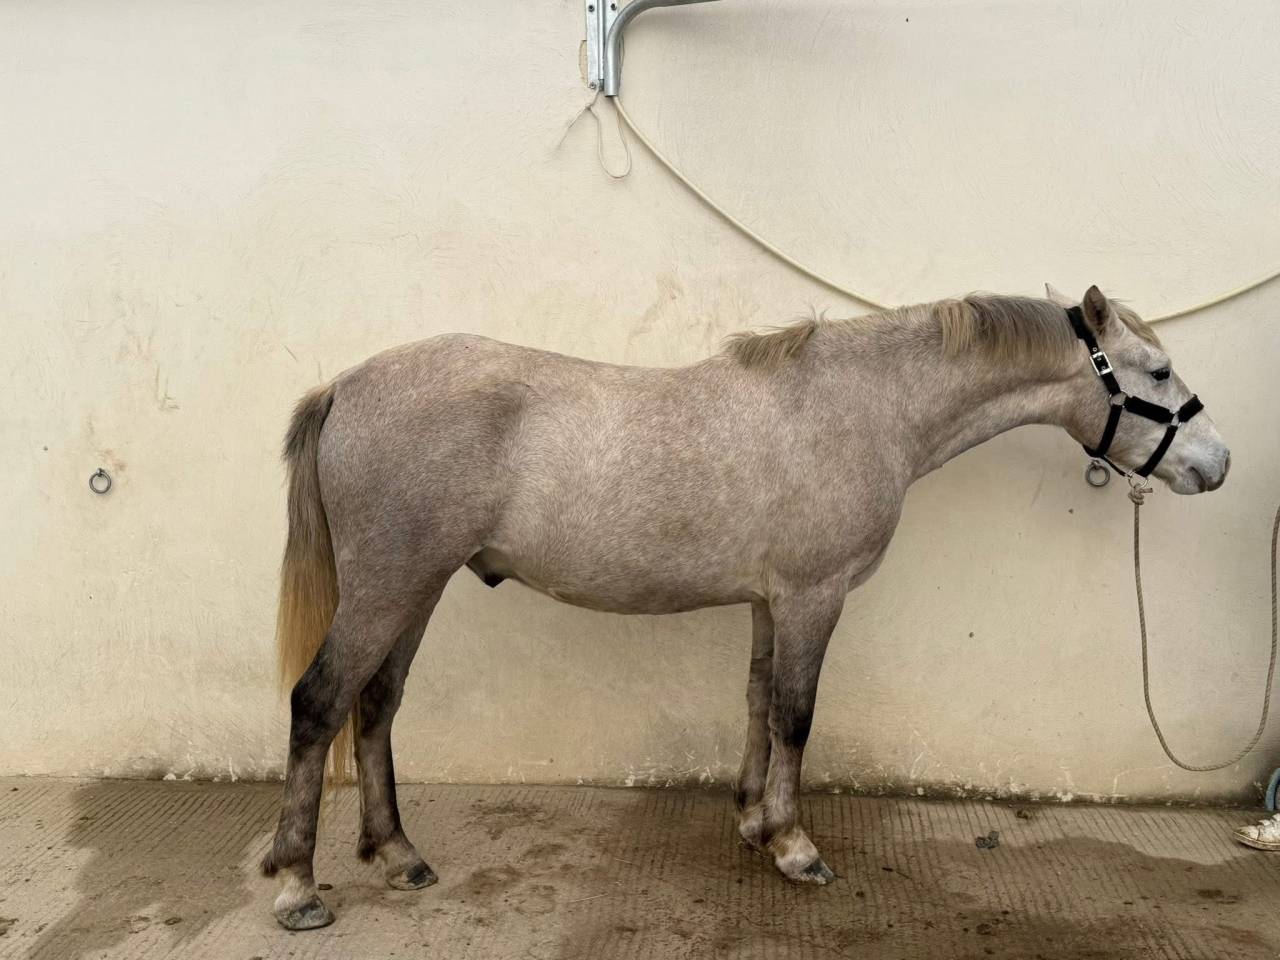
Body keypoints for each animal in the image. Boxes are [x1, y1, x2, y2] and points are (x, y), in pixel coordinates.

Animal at [260, 284, 1229, 930]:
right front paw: (796, 847)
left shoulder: (772, 602)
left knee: (376, 706)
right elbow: (797, 714)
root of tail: (346, 384)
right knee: (321, 702)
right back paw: (299, 886)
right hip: (391, 584)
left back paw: (396, 854)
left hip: (417, 587)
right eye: (1157, 368)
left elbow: (760, 701)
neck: (865, 406)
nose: (1216, 464)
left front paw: (756, 822)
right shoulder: (813, 595)